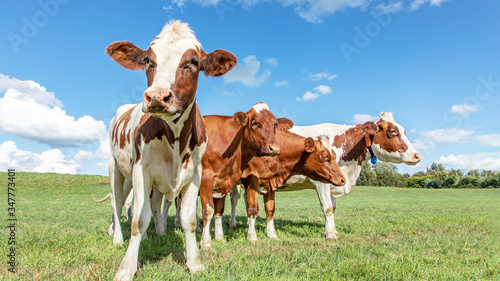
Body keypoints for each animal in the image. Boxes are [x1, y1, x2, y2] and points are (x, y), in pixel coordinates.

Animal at [105, 19, 236, 278]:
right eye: (148, 60)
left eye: (193, 62)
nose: (157, 96)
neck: (175, 139)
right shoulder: (141, 169)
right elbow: (138, 220)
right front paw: (126, 267)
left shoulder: (195, 174)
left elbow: (188, 219)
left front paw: (194, 262)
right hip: (116, 169)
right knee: (117, 201)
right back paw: (116, 237)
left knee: (152, 204)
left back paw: (155, 233)